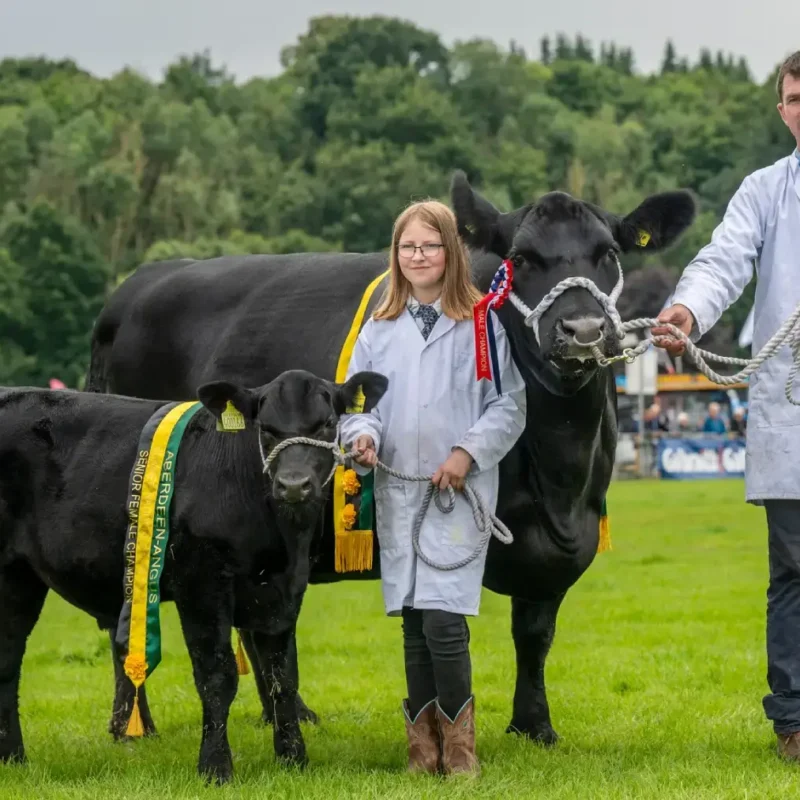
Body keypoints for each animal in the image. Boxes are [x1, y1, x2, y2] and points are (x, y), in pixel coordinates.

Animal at [0, 368, 388, 780]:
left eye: (327, 423)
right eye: (266, 428)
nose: (294, 485)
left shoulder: (284, 590)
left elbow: (283, 676)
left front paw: (294, 759)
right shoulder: (201, 584)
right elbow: (217, 676)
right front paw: (215, 766)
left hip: (20, 576)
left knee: (8, 658)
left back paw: (13, 757)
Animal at [84, 172, 692, 748]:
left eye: (607, 252)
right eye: (521, 258)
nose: (583, 330)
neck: (560, 473)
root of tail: (137, 285)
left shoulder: (565, 541)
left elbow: (535, 631)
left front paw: (534, 726)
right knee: (129, 615)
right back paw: (132, 724)